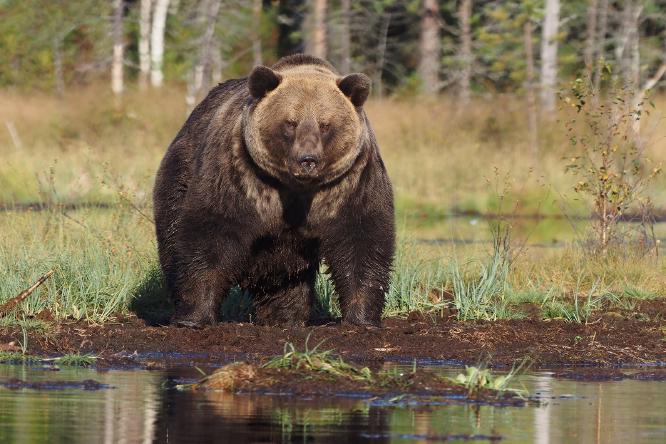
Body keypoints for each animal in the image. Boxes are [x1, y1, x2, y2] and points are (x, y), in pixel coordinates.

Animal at [153, 54, 395, 328]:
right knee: (173, 235)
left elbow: (361, 237)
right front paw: (194, 316)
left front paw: (362, 318)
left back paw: (286, 317)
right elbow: (211, 232)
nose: (307, 160)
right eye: (290, 122)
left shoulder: (351, 181)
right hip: (181, 174)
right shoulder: (239, 174)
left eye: (325, 124)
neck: (297, 187)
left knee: (287, 278)